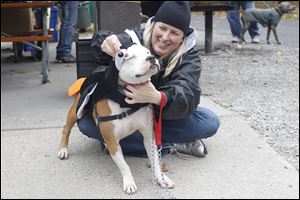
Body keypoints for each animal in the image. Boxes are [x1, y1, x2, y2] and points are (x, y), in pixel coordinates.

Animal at [57, 43, 175, 194]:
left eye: (147, 52)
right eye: (128, 56)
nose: (152, 58)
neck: (124, 100)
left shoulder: (149, 137)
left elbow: (155, 162)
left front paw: (162, 179)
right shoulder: (113, 141)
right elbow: (124, 165)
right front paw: (129, 182)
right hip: (75, 111)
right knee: (66, 128)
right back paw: (63, 150)